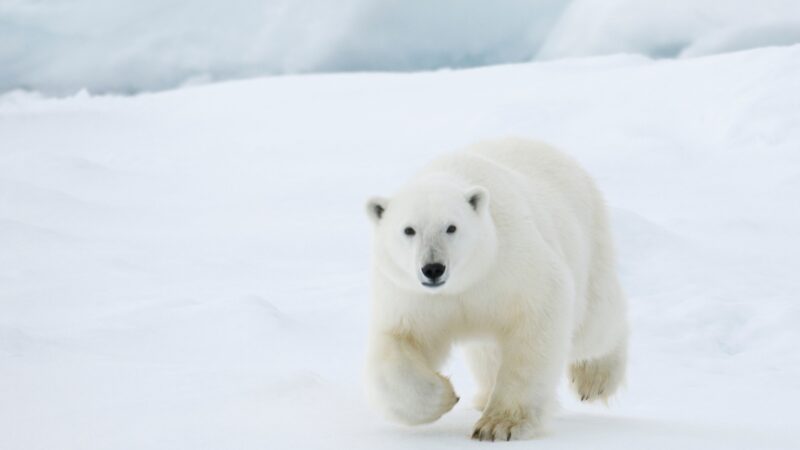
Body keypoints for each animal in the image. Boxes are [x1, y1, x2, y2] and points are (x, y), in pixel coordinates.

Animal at [364, 137, 632, 440]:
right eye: (408, 229)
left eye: (451, 227)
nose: (433, 268)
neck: (465, 281)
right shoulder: (411, 294)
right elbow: (398, 343)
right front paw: (444, 396)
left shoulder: (511, 263)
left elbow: (539, 317)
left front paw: (499, 425)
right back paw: (483, 396)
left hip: (588, 241)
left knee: (594, 327)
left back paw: (595, 378)